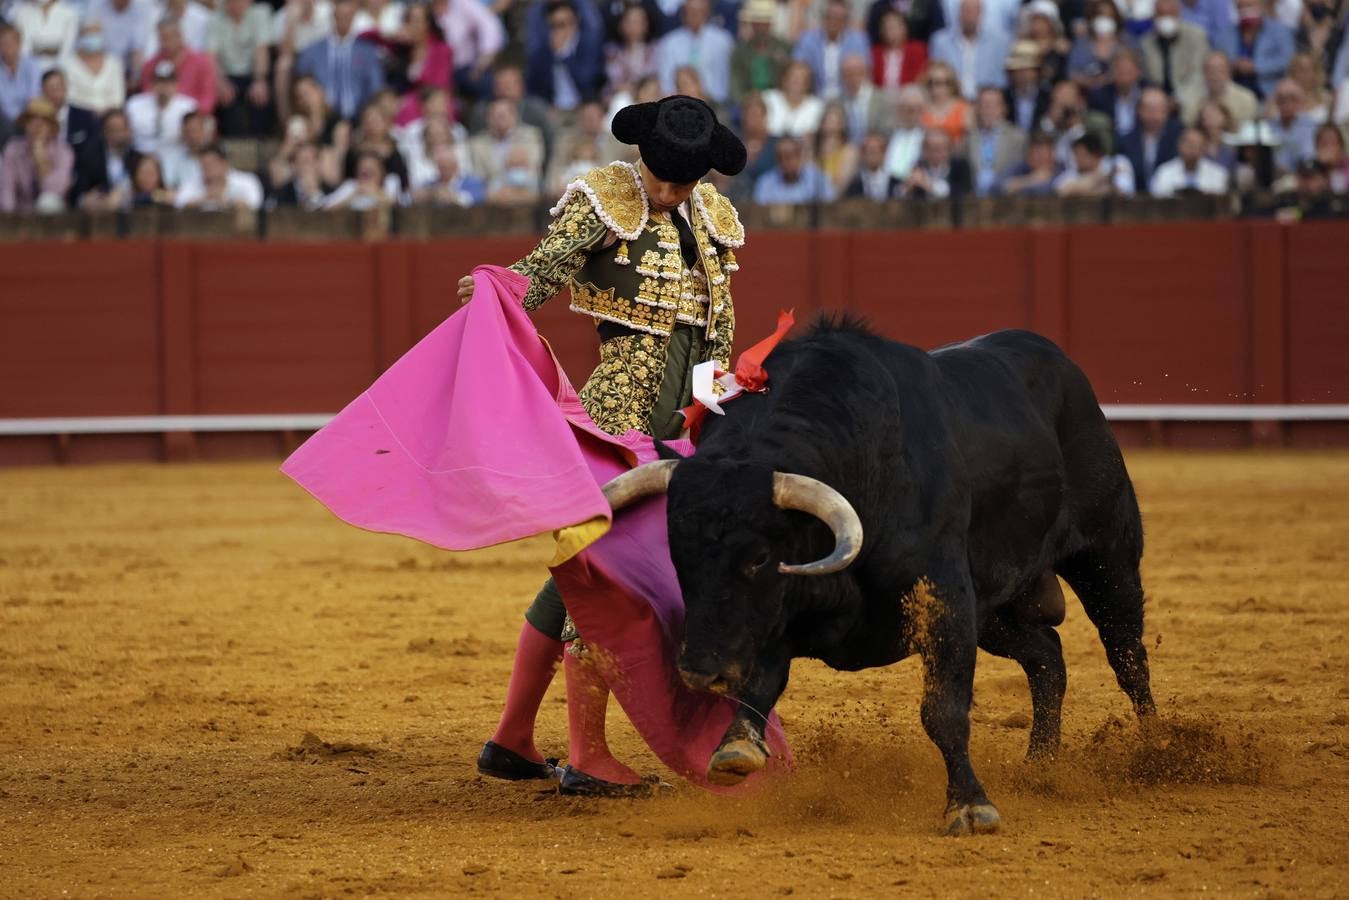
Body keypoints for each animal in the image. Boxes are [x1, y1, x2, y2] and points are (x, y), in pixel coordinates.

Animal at [604, 323, 1160, 836]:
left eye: (759, 557)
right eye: (677, 554)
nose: (700, 671)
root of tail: (1056, 359)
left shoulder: (944, 602)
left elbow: (944, 710)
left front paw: (970, 807)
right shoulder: (780, 615)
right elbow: (762, 683)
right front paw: (736, 747)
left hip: (1106, 554)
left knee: (1127, 655)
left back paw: (1155, 753)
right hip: (994, 610)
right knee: (1047, 657)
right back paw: (1040, 765)